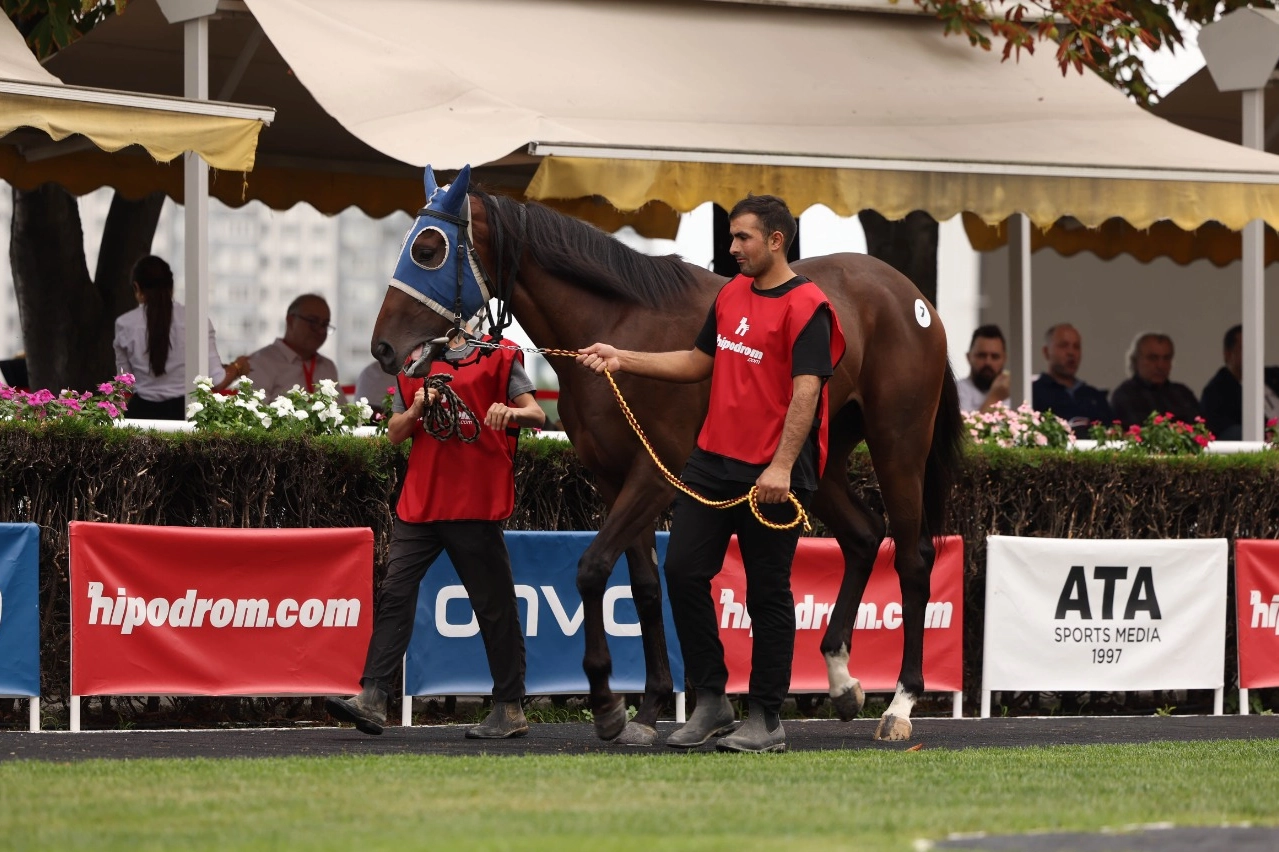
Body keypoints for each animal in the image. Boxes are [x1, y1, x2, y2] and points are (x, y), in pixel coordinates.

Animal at [373, 179, 961, 741]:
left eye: (428, 250)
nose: (381, 347)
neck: (620, 319)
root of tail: (913, 298)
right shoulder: (613, 479)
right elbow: (644, 586)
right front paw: (651, 706)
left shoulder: (655, 476)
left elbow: (592, 569)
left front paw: (608, 704)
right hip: (818, 457)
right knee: (863, 535)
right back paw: (841, 682)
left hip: (898, 442)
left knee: (913, 557)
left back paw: (902, 703)